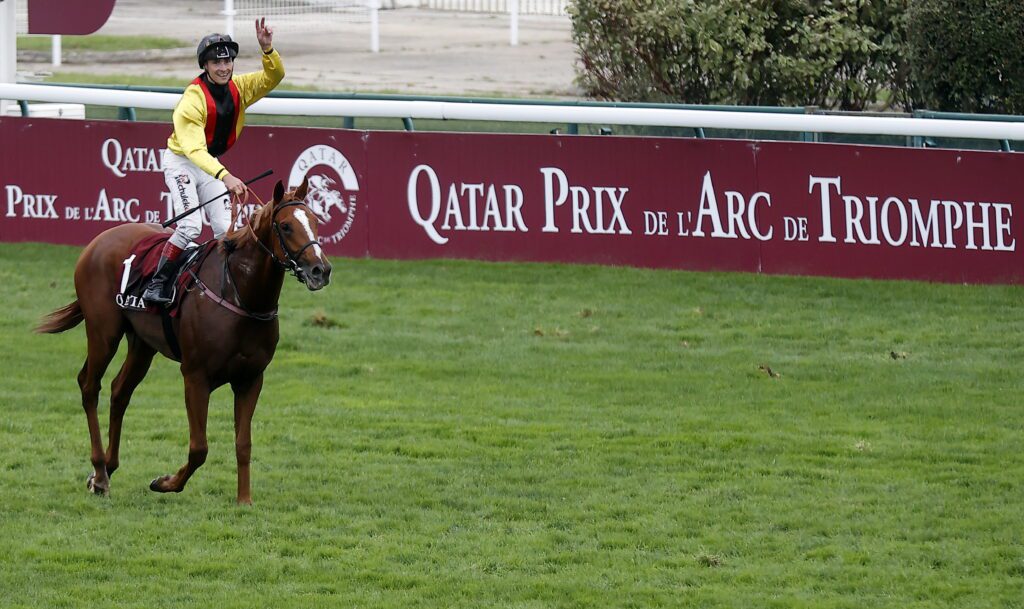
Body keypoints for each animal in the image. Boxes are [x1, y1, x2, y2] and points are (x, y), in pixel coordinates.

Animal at [36, 180, 329, 505]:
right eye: (286, 226)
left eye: (315, 221)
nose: (321, 270)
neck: (240, 293)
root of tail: (98, 241)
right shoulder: (195, 376)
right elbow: (199, 448)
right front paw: (164, 482)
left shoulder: (251, 378)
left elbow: (243, 443)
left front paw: (244, 500)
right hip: (103, 331)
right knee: (89, 386)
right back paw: (99, 472)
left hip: (142, 344)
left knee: (119, 391)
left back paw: (107, 469)